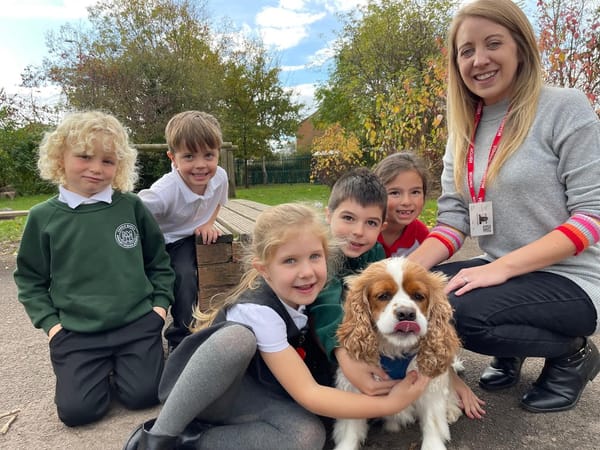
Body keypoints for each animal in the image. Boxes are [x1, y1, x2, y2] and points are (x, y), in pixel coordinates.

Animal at [332, 256, 464, 450]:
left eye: (419, 296)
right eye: (383, 296)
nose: (406, 314)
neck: (396, 350)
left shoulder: (430, 388)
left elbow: (432, 421)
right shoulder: (353, 385)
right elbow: (350, 429)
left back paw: (452, 409)